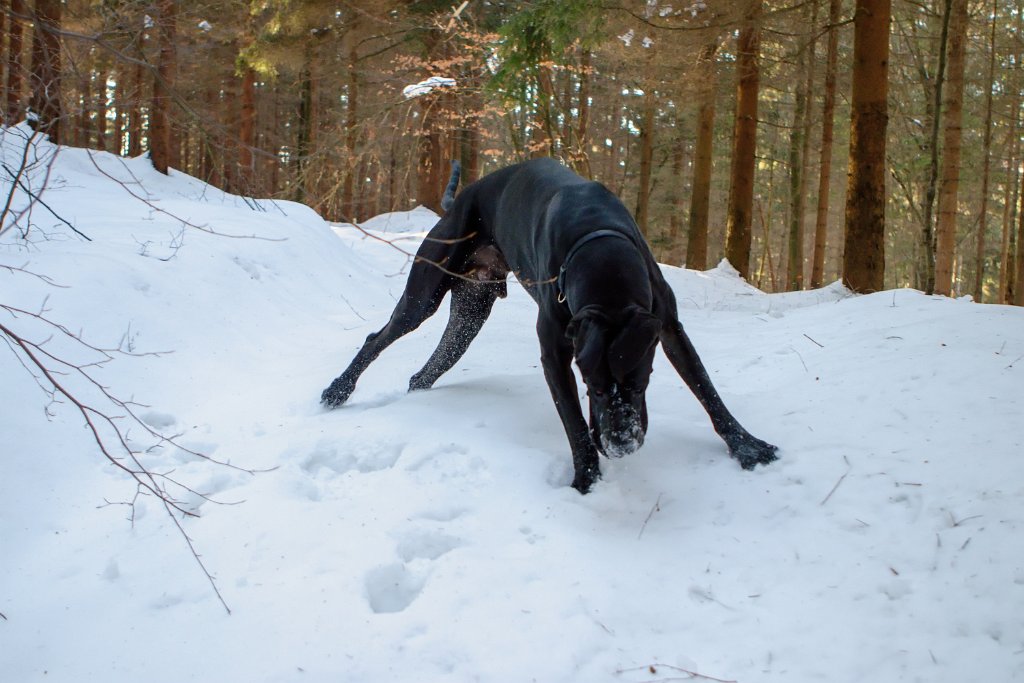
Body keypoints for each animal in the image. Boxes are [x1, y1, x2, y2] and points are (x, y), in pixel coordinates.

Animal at [319, 158, 774, 493]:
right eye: (593, 387)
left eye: (639, 382)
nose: (620, 444)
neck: (601, 252)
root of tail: (463, 196)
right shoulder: (556, 353)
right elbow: (574, 424)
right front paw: (585, 482)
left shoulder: (670, 328)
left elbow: (708, 392)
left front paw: (748, 446)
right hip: (423, 296)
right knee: (377, 337)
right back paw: (338, 390)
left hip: (470, 313)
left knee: (429, 367)